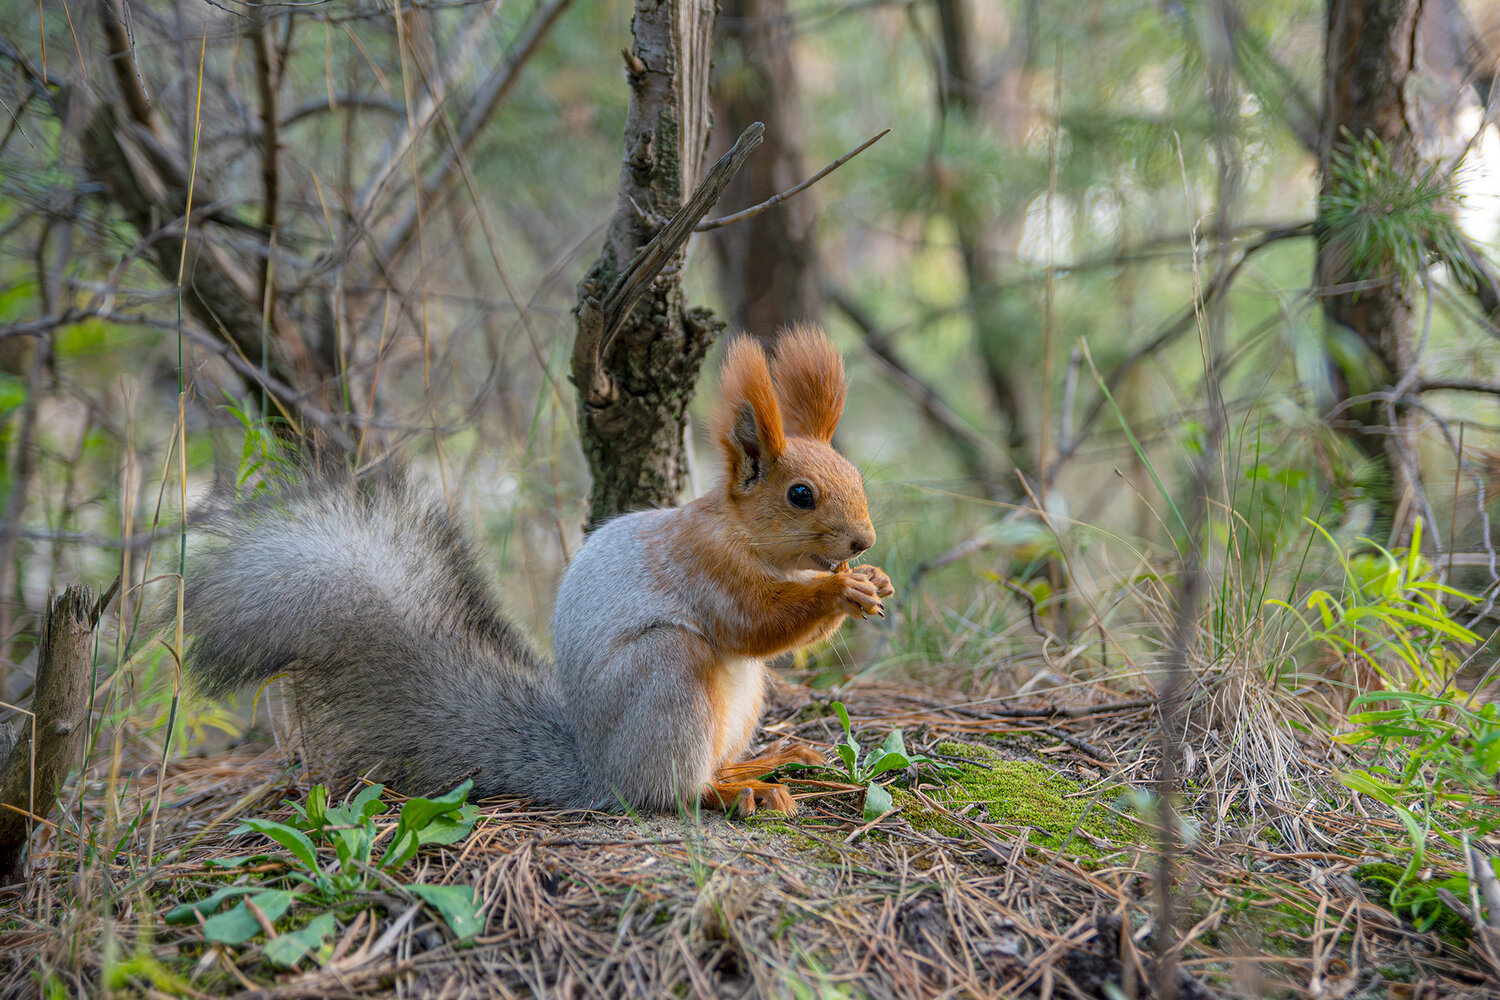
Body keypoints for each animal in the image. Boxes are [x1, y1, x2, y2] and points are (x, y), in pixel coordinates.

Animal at [176, 325, 893, 815]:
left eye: (855, 474)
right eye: (800, 495)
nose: (863, 540)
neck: (746, 535)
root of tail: (595, 771)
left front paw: (873, 582)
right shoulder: (703, 565)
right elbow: (753, 623)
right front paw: (842, 589)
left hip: (741, 701)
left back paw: (763, 762)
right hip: (667, 674)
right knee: (665, 792)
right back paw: (731, 791)